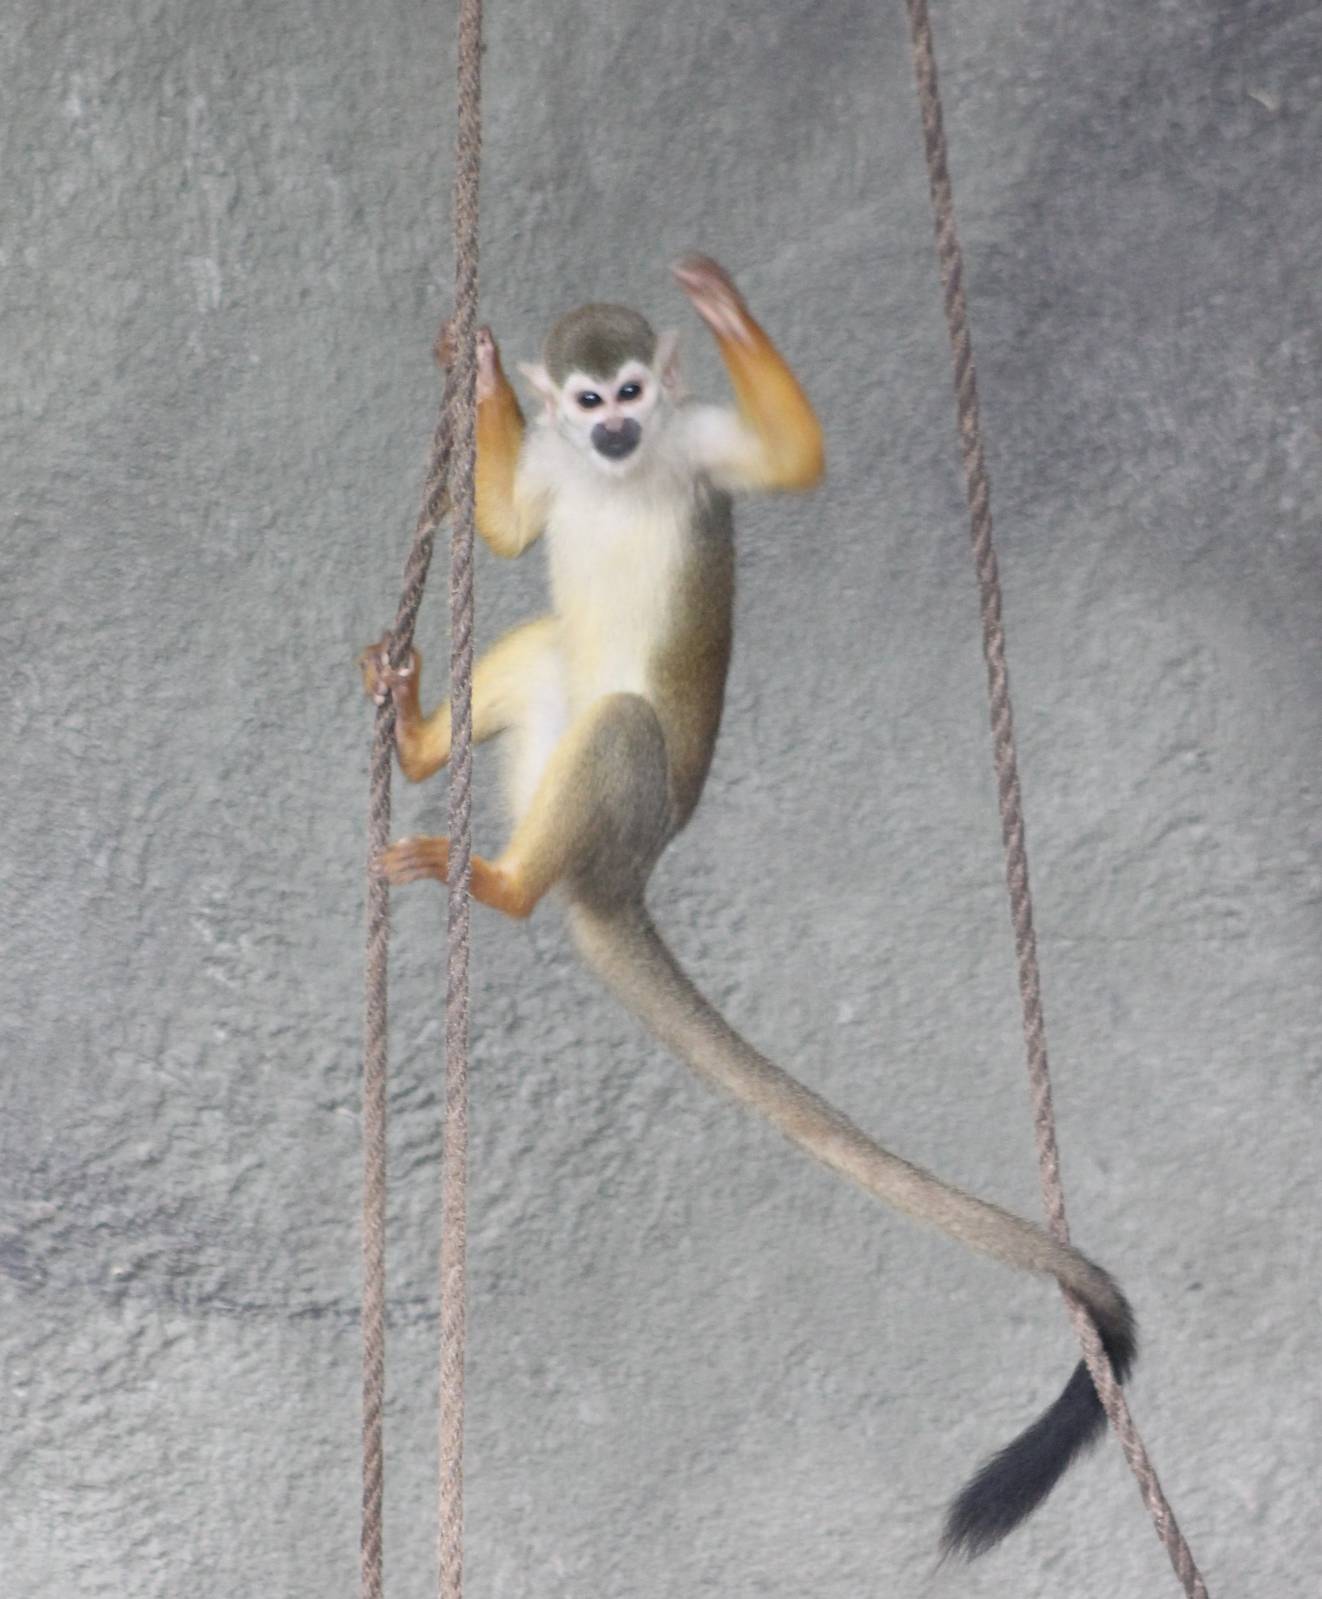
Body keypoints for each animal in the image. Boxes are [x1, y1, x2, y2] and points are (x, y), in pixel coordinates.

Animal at [359, 254, 1136, 1558]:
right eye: (586, 402)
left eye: (633, 392)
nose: (615, 430)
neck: (615, 469)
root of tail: (620, 877)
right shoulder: (560, 472)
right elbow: (510, 525)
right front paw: (479, 376)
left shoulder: (695, 446)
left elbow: (790, 462)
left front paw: (724, 314)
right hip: (564, 773)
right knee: (550, 655)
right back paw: (427, 751)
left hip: (630, 807)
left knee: (622, 728)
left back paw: (501, 887)